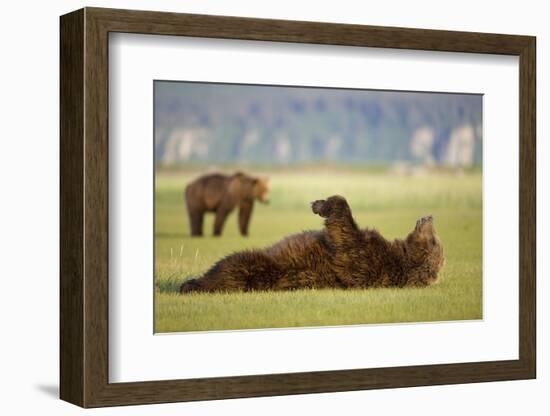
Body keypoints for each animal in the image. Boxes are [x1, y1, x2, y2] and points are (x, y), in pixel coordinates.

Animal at [179, 195, 446, 292]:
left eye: (435, 241)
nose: (429, 217)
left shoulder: (366, 258)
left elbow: (344, 234)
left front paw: (320, 204)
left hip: (261, 266)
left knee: (231, 267)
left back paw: (191, 284)